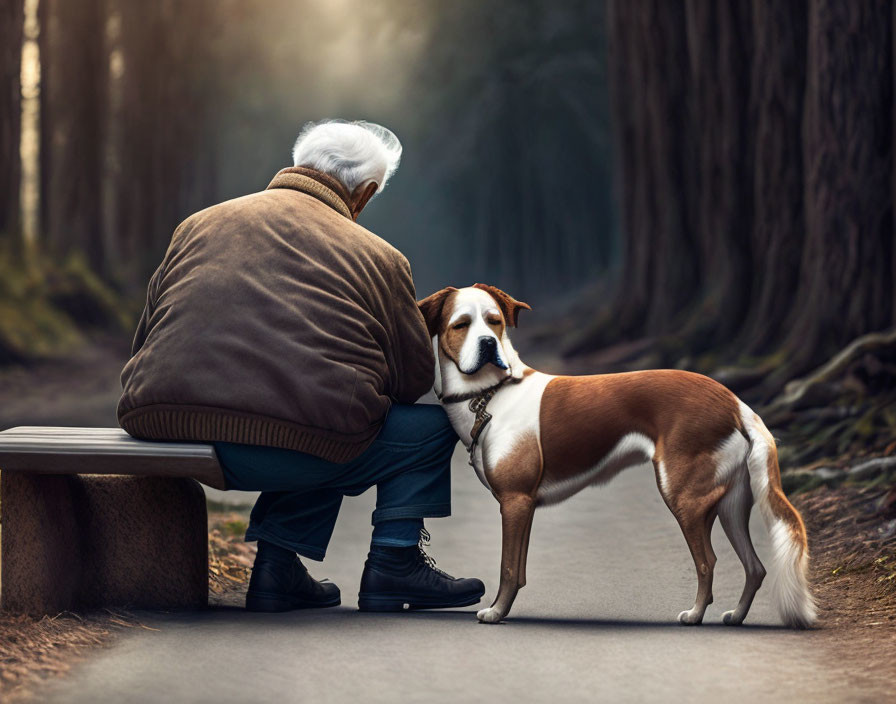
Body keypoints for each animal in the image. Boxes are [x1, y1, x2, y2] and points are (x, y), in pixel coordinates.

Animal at [416, 284, 816, 624]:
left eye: (494, 322)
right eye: (461, 325)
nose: (487, 344)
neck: (491, 394)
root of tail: (733, 401)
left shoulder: (514, 502)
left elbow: (508, 568)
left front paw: (497, 613)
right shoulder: (523, 506)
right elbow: (520, 569)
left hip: (684, 496)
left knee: (708, 562)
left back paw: (695, 615)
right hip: (733, 504)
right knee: (755, 567)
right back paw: (736, 616)